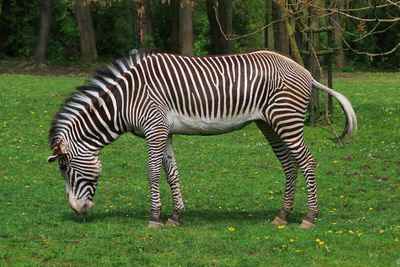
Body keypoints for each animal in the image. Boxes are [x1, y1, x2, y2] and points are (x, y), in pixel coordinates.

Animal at [47, 50, 356, 230]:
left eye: (65, 168)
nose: (77, 211)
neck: (125, 100)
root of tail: (306, 72)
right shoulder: (165, 131)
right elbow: (171, 173)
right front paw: (175, 216)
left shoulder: (154, 128)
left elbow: (152, 173)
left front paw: (154, 218)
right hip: (269, 123)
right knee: (290, 164)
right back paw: (283, 214)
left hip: (286, 120)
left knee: (308, 162)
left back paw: (309, 217)